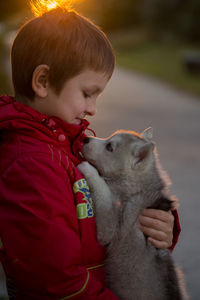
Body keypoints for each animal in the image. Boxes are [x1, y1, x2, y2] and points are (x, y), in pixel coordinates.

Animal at [77, 128, 187, 300]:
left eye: (110, 147)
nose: (86, 139)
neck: (136, 188)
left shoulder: (113, 227)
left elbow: (103, 192)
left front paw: (89, 169)